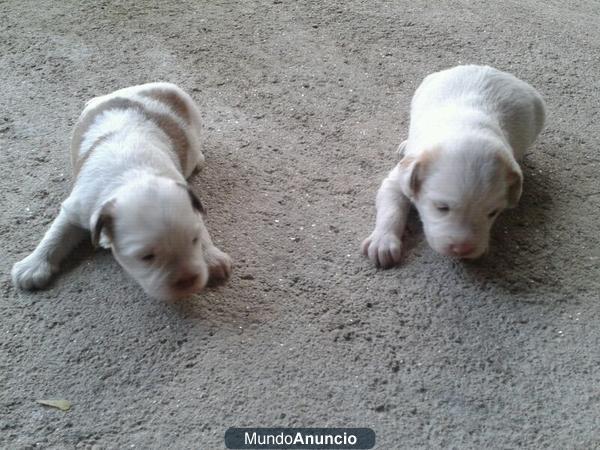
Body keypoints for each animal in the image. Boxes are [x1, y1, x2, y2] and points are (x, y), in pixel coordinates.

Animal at [12, 82, 232, 300]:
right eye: (146, 257)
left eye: (194, 240)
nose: (188, 281)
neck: (132, 176)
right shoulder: (77, 207)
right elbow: (56, 234)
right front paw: (32, 265)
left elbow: (202, 229)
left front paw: (212, 257)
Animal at [364, 64, 548, 268]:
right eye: (441, 207)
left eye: (493, 213)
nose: (463, 249)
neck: (466, 127)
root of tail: (488, 69)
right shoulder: (400, 178)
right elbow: (391, 207)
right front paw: (383, 242)